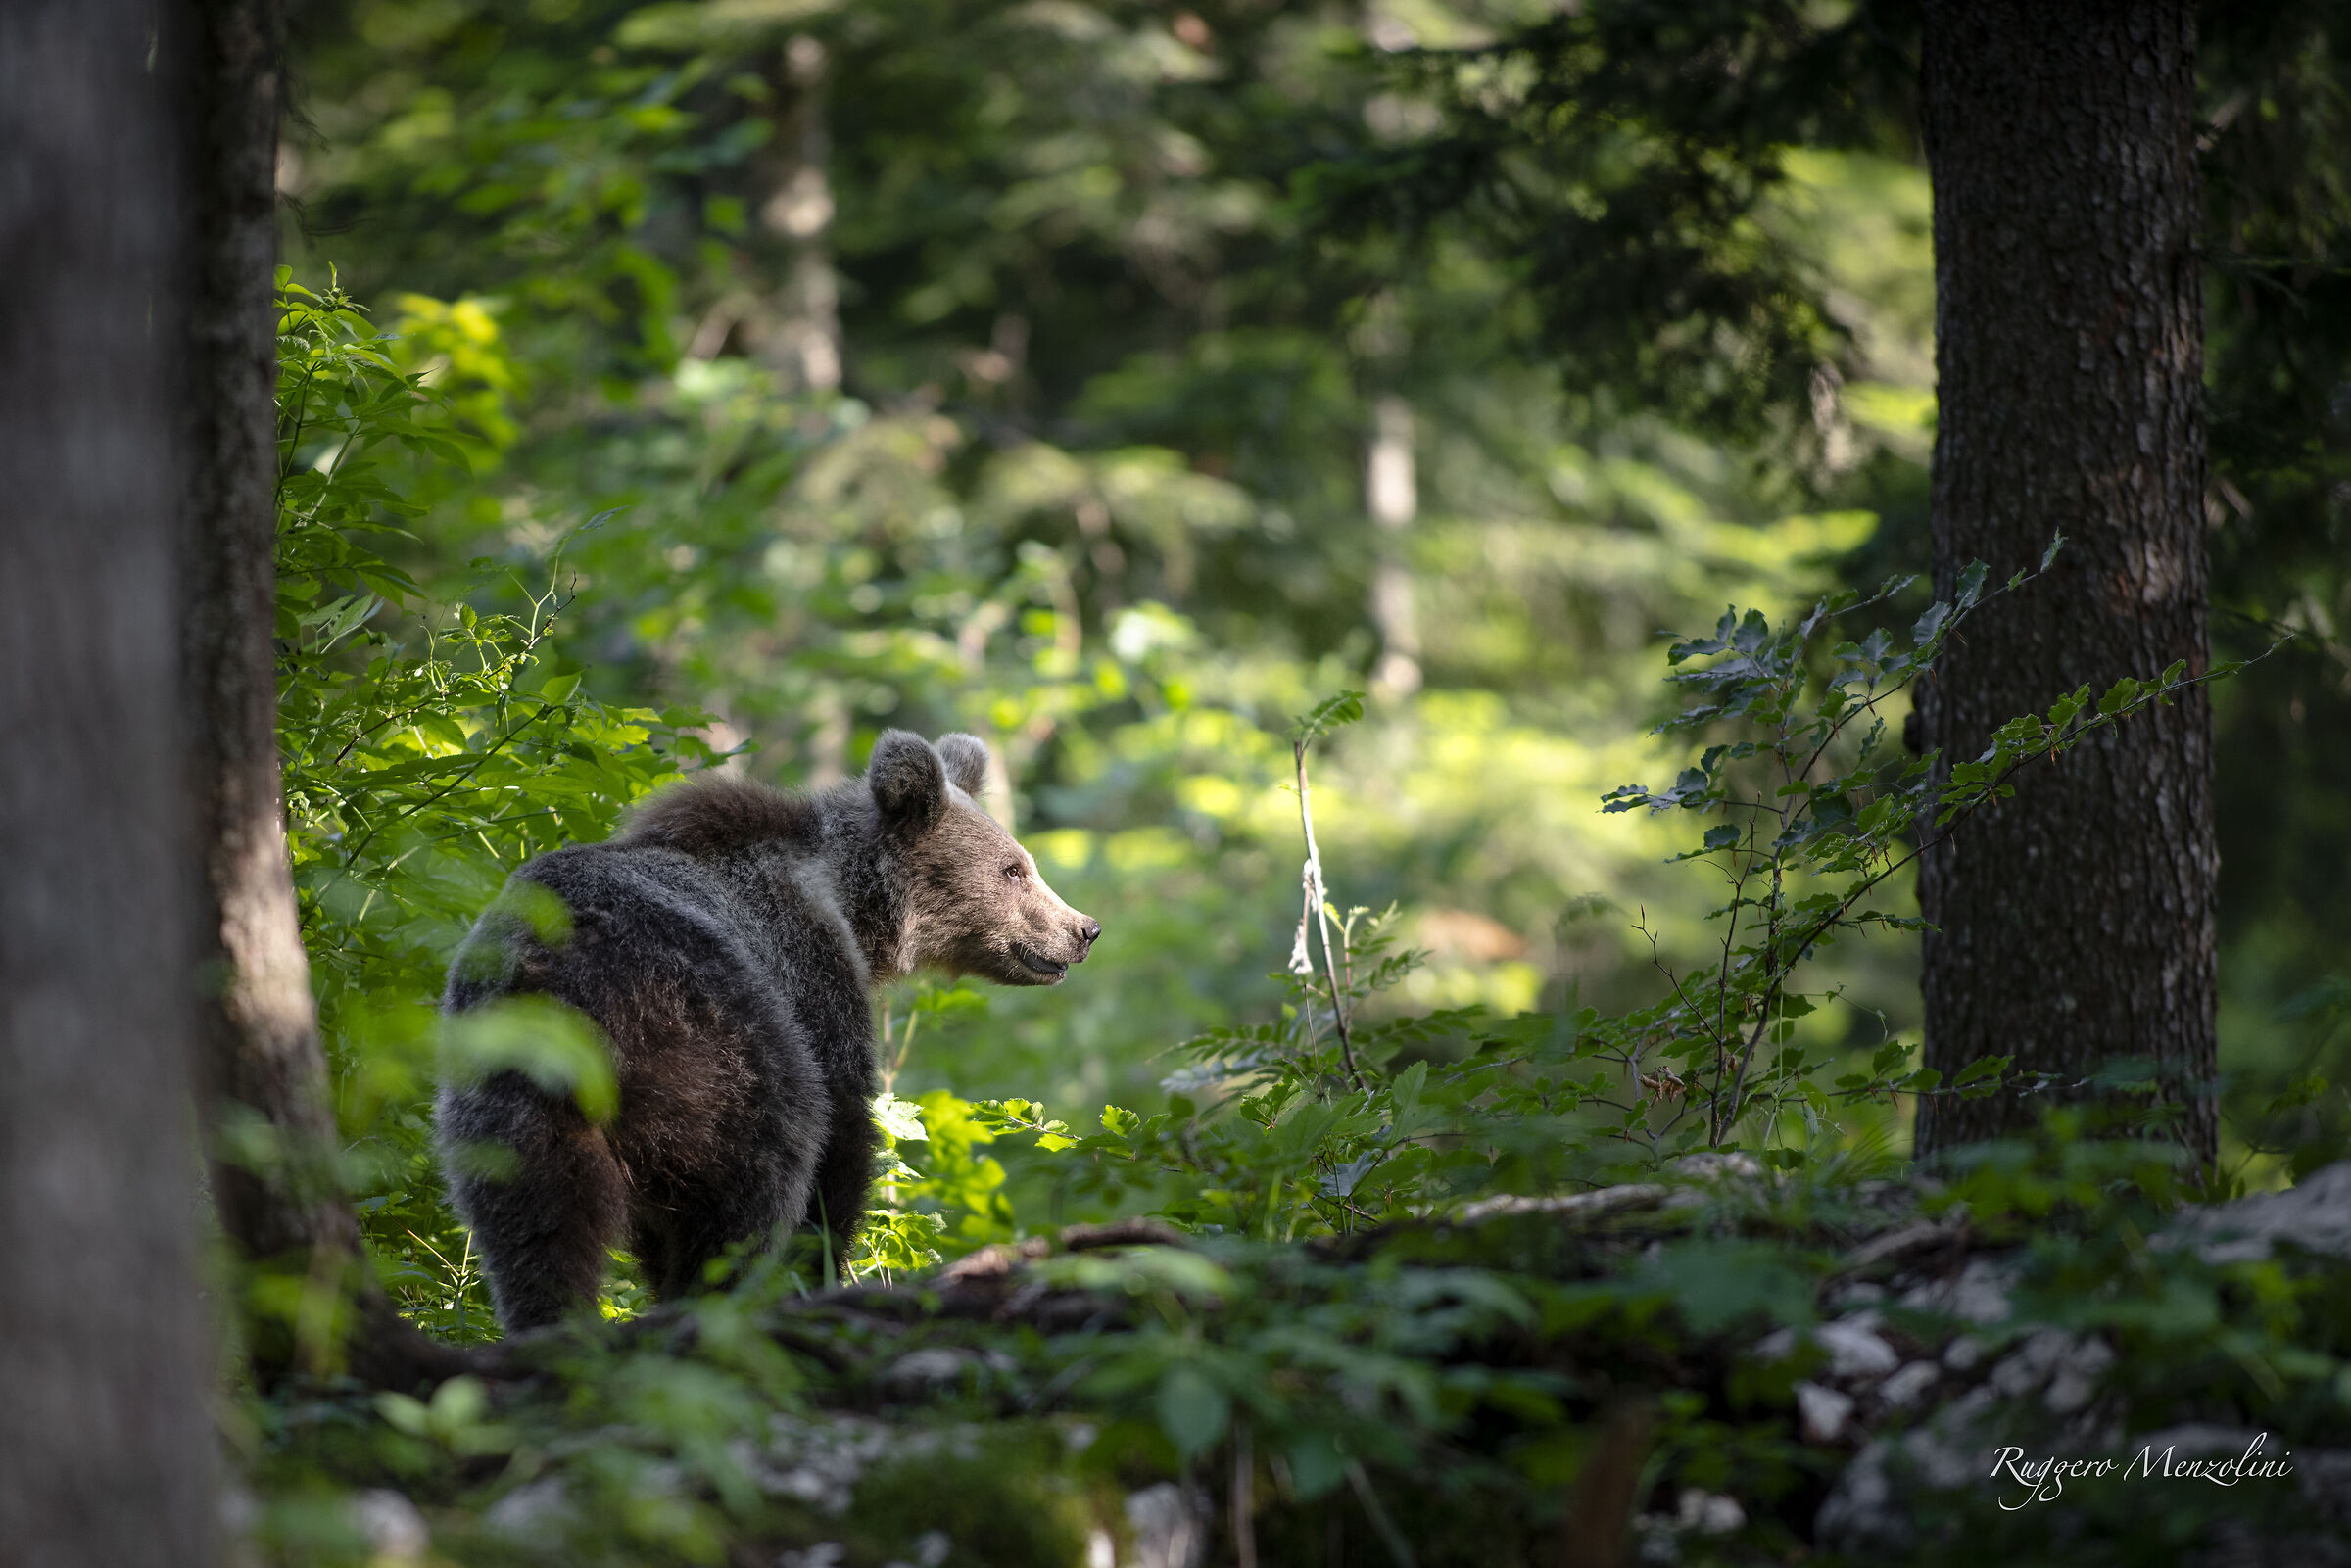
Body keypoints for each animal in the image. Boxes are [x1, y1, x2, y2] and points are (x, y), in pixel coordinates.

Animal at [436, 729, 1100, 1332]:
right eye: (1013, 869)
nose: (1084, 928)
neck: (856, 909)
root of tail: (563, 981)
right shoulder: (807, 972)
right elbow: (844, 1135)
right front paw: (824, 1266)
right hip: (723, 1052)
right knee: (749, 1193)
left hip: (507, 1095)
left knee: (538, 1224)